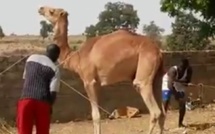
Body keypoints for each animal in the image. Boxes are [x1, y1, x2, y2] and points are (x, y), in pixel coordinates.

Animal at [38, 5, 166, 133]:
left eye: (52, 11)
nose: (40, 8)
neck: (76, 58)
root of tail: (158, 51)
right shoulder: (97, 83)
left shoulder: (89, 81)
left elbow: (95, 115)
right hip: (157, 77)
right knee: (163, 113)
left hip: (144, 72)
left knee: (155, 111)